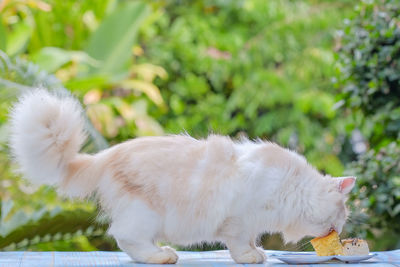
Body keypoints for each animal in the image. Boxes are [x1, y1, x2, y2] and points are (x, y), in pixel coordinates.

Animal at [9, 90, 354, 266]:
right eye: (342, 216)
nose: (340, 231)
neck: (290, 189)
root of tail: (106, 155)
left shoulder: (251, 223)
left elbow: (252, 241)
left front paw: (258, 253)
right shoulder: (238, 220)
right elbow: (240, 243)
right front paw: (250, 257)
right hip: (144, 214)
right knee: (124, 237)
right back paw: (160, 257)